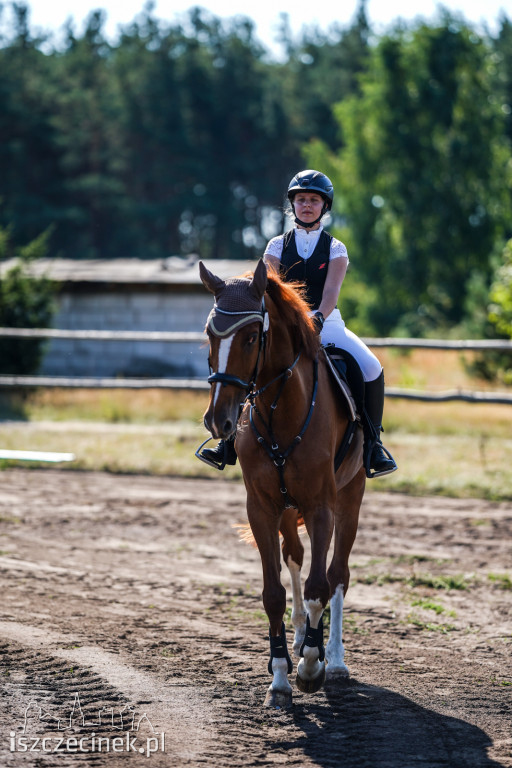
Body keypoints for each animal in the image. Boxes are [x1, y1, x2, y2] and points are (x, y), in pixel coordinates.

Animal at [198, 258, 366, 708]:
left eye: (251, 336)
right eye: (209, 335)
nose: (218, 421)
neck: (279, 411)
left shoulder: (322, 507)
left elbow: (318, 587)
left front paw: (310, 668)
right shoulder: (262, 508)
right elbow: (273, 592)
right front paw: (279, 678)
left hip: (351, 498)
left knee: (337, 575)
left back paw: (333, 658)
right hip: (289, 510)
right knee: (294, 555)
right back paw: (300, 637)